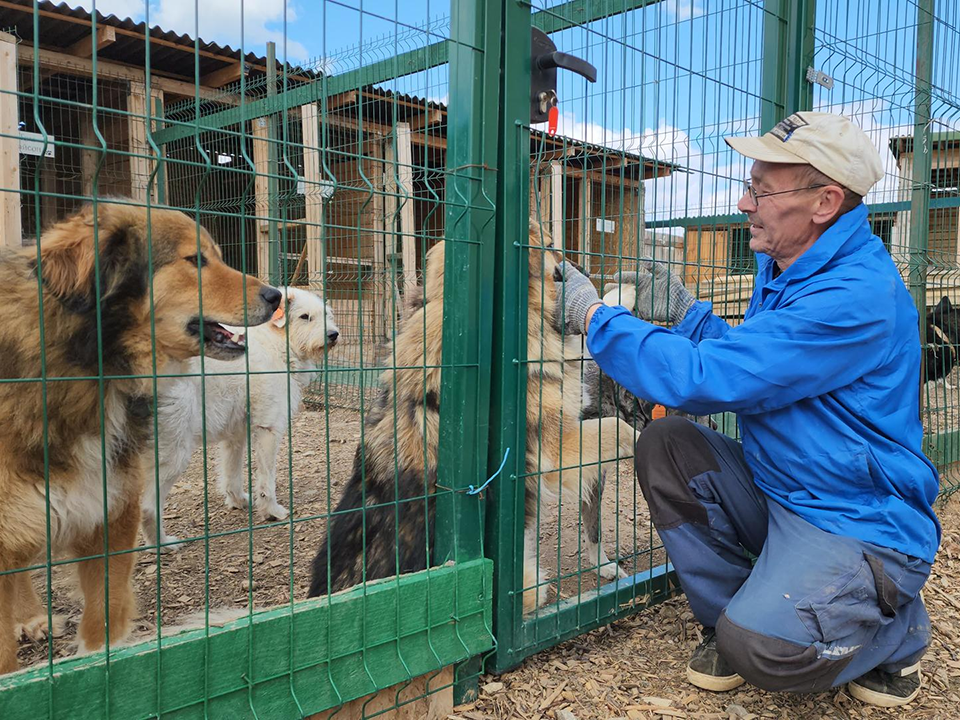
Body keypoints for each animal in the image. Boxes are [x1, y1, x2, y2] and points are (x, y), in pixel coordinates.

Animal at [141, 286, 340, 552]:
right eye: (305, 317)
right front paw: (271, 511)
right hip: (174, 454)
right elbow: (266, 480)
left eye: (326, 314)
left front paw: (238, 501)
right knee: (147, 508)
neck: (277, 342)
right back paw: (162, 544)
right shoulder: (268, 428)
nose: (333, 335)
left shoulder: (236, 435)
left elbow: (231, 473)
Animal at [310, 224, 636, 612]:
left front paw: (625, 291)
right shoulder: (556, 448)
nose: (580, 269)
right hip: (527, 580)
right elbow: (618, 426)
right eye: (551, 246)